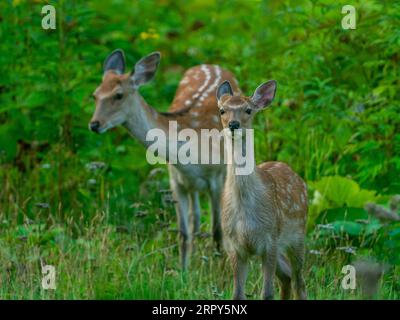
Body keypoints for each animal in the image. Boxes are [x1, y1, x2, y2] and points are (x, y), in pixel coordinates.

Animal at [90, 50, 241, 270]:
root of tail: (213, 65)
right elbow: (183, 233)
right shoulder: (176, 181)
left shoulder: (216, 178)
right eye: (95, 95)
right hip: (191, 185)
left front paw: (219, 269)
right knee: (195, 216)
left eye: (118, 95)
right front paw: (183, 272)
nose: (94, 124)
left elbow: (217, 230)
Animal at [217, 80, 308, 300]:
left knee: (299, 281)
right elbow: (237, 294)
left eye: (248, 110)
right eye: (222, 110)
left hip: (298, 234)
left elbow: (267, 293)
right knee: (287, 276)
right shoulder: (234, 246)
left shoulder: (269, 240)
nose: (233, 125)